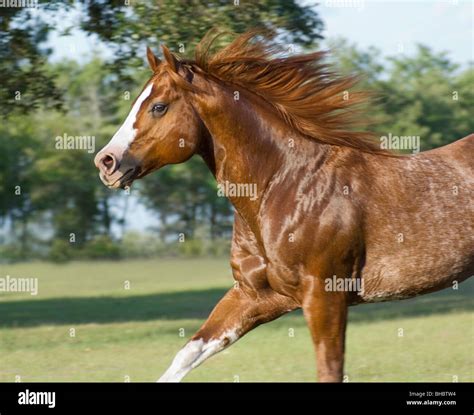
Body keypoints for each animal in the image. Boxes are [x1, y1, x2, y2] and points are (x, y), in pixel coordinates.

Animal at [93, 30, 474, 384]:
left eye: (158, 106)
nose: (106, 162)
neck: (284, 186)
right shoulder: (257, 295)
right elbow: (188, 353)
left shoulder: (324, 296)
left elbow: (329, 370)